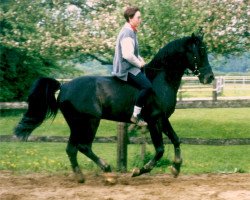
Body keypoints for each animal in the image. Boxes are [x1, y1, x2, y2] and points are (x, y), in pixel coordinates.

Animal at [14, 33, 213, 183]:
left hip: (76, 125)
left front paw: (176, 167)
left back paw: (80, 177)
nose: (209, 77)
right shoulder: (154, 120)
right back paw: (108, 171)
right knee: (84, 146)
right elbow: (160, 150)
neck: (160, 80)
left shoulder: (163, 119)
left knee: (71, 149)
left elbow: (176, 140)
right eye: (201, 51)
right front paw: (139, 170)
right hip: (90, 122)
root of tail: (64, 87)